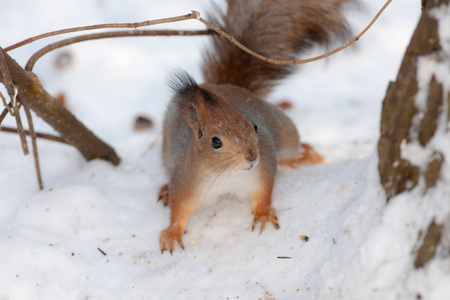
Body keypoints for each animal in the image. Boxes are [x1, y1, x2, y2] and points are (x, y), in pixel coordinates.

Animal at [158, 0, 356, 253]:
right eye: (215, 142)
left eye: (253, 126)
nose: (252, 157)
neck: (227, 176)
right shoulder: (186, 182)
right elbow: (179, 210)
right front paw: (172, 231)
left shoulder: (262, 171)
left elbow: (264, 193)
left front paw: (262, 213)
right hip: (167, 153)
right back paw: (165, 189)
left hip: (287, 133)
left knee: (290, 150)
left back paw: (299, 157)